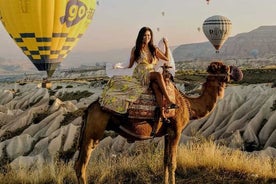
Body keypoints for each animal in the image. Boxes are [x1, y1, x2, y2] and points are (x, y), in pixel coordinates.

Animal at [73, 61, 242, 184]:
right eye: (224, 67)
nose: (238, 72)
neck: (188, 104)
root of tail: (90, 108)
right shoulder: (176, 130)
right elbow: (173, 162)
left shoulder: (167, 133)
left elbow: (165, 160)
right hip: (94, 131)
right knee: (81, 166)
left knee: (77, 165)